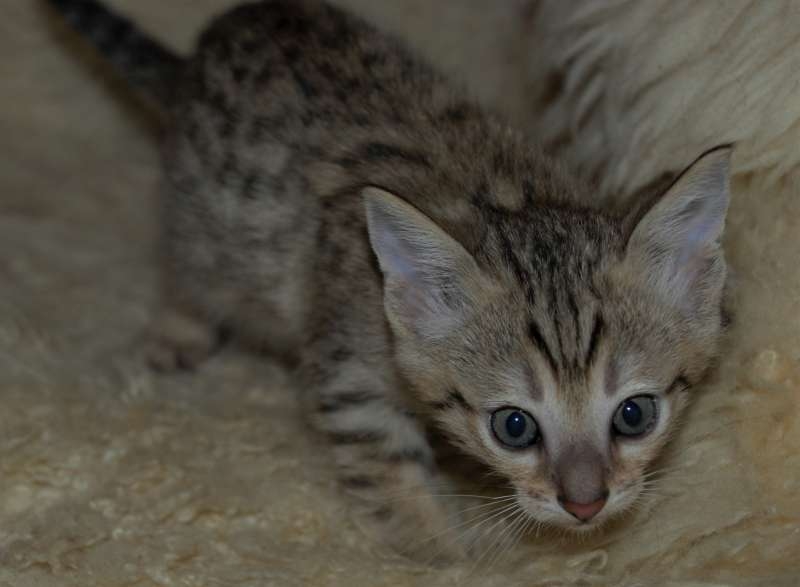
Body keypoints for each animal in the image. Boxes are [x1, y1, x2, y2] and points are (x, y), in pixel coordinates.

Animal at [46, 0, 732, 561]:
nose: (585, 503)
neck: (509, 194)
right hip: (203, 228)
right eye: (514, 427)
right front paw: (442, 553)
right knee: (184, 267)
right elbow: (385, 471)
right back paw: (179, 329)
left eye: (635, 415)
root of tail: (195, 60)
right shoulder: (348, 373)